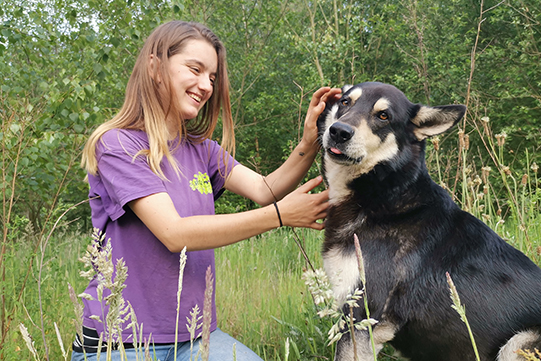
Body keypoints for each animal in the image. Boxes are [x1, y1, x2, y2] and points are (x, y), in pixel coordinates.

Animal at [316, 81, 541, 360]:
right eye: (345, 102)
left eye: (383, 116)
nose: (339, 131)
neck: (387, 192)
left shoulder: (361, 319)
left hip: (518, 342)